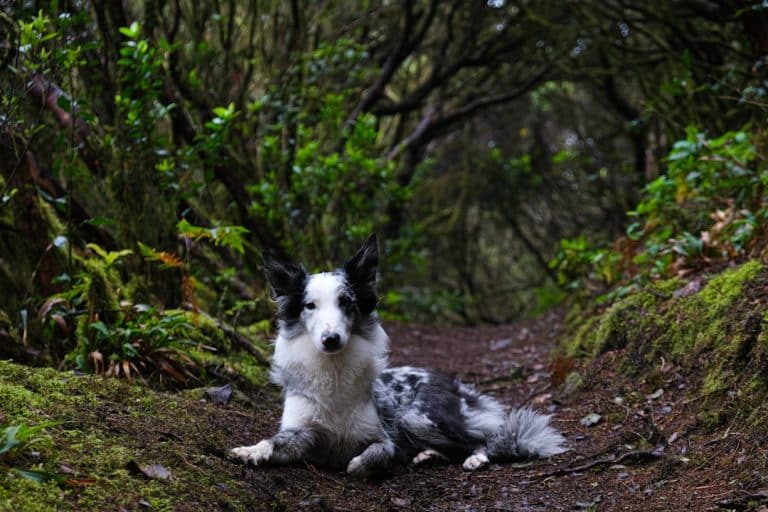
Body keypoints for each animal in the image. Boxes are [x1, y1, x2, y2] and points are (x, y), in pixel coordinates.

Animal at [228, 234, 564, 478]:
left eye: (346, 302)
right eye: (309, 306)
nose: (331, 339)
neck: (333, 369)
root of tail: (452, 382)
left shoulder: (384, 436)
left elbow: (373, 456)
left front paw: (359, 465)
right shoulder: (302, 432)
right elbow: (275, 441)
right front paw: (250, 450)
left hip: (415, 416)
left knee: (482, 439)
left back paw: (475, 457)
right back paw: (428, 455)